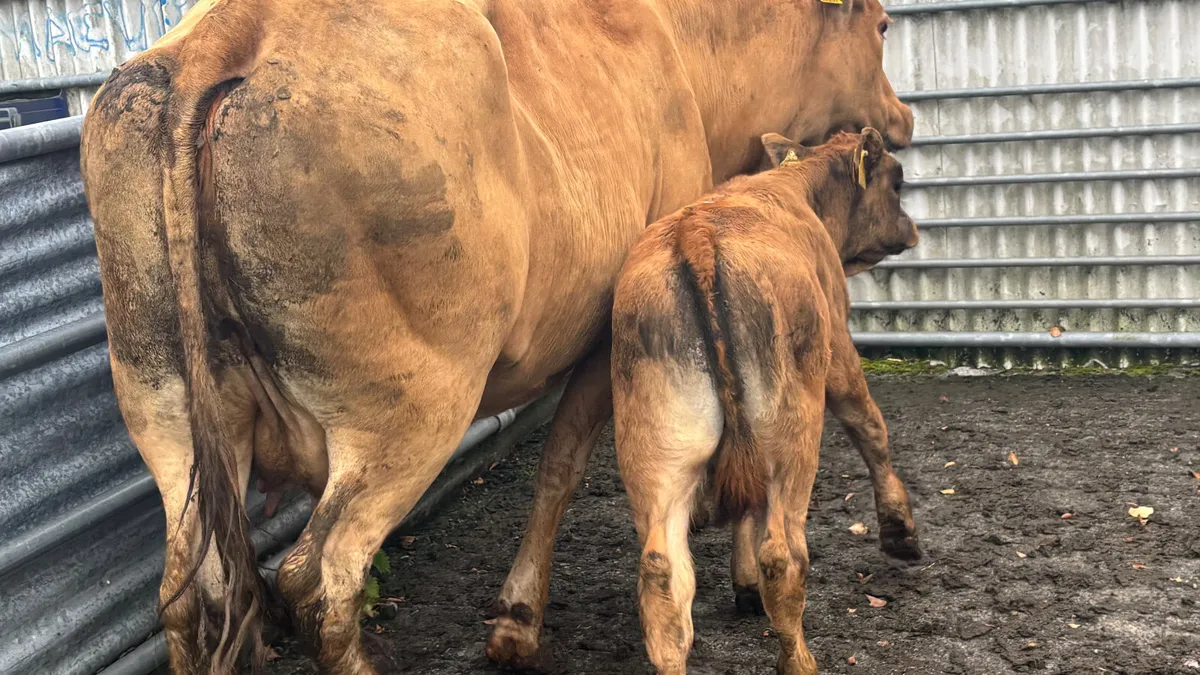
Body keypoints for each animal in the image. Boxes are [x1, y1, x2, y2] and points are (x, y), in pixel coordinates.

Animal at [609, 129, 919, 674]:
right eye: (897, 181)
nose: (911, 228)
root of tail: (696, 236)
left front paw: (744, 584)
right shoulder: (838, 347)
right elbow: (870, 428)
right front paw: (900, 532)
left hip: (657, 452)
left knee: (663, 576)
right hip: (791, 438)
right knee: (784, 556)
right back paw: (799, 660)